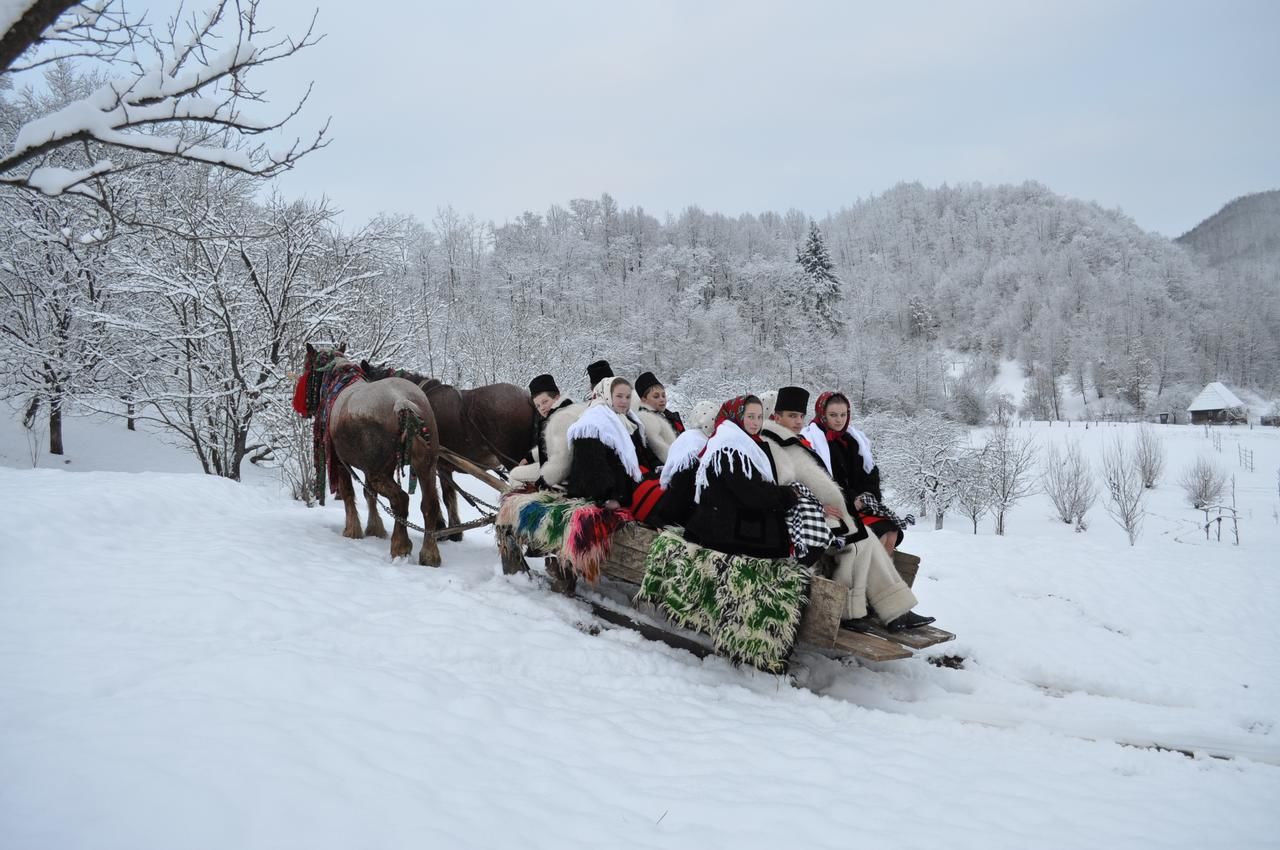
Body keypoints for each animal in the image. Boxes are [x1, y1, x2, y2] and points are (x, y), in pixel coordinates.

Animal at [298, 343, 448, 568]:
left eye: (307, 367)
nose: (304, 408)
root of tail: (402, 402)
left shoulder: (342, 462)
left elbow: (349, 493)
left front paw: (352, 530)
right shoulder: (370, 468)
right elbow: (369, 494)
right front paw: (374, 528)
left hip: (380, 472)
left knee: (400, 500)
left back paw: (400, 546)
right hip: (426, 467)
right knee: (429, 504)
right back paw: (430, 554)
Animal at [360, 360, 535, 540]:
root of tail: (528, 398)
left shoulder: (436, 464)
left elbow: (440, 495)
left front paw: (442, 528)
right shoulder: (443, 465)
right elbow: (450, 495)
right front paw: (453, 529)